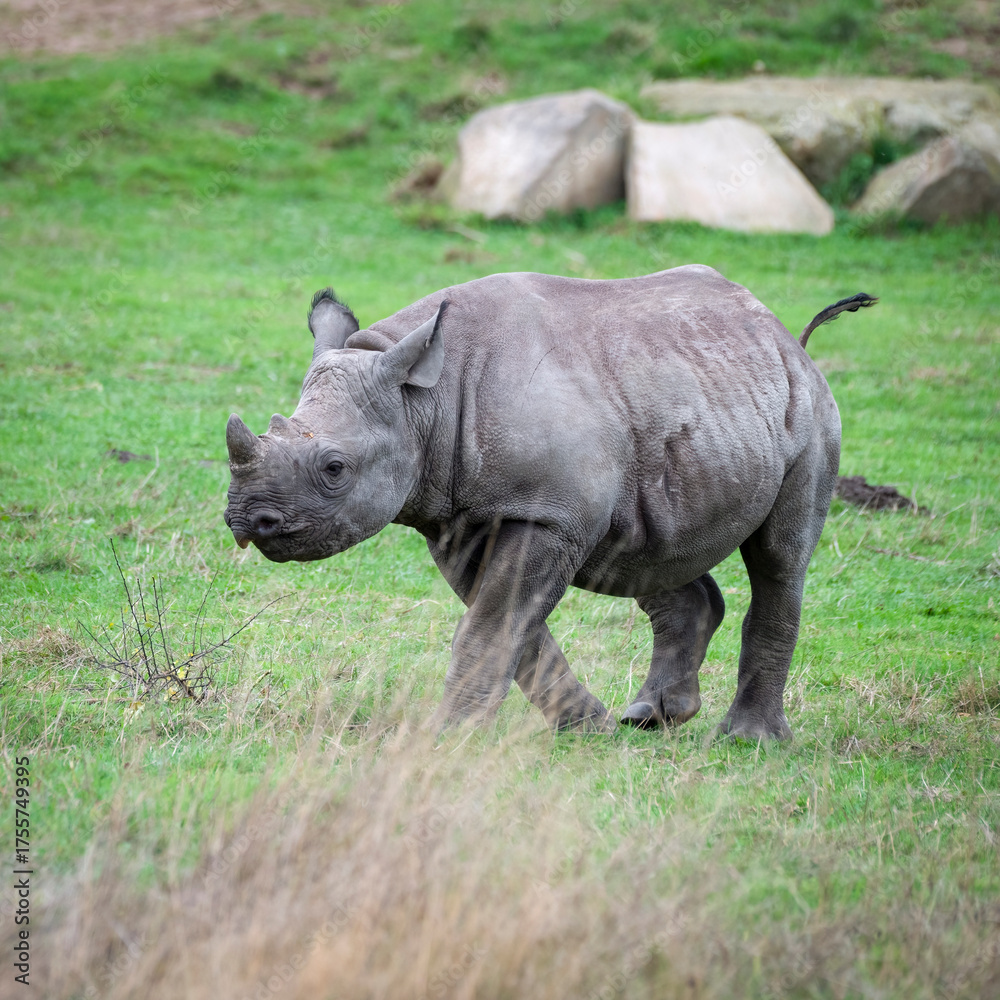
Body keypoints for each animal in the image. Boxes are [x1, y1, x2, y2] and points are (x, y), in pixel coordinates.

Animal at [224, 266, 876, 740]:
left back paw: (747, 740)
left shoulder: (545, 514)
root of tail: (781, 333)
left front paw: (447, 737)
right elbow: (512, 625)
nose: (245, 520)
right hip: (686, 399)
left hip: (808, 407)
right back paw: (649, 719)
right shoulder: (462, 517)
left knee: (779, 559)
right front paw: (585, 729)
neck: (424, 401)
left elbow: (493, 622)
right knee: (647, 548)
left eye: (334, 468)